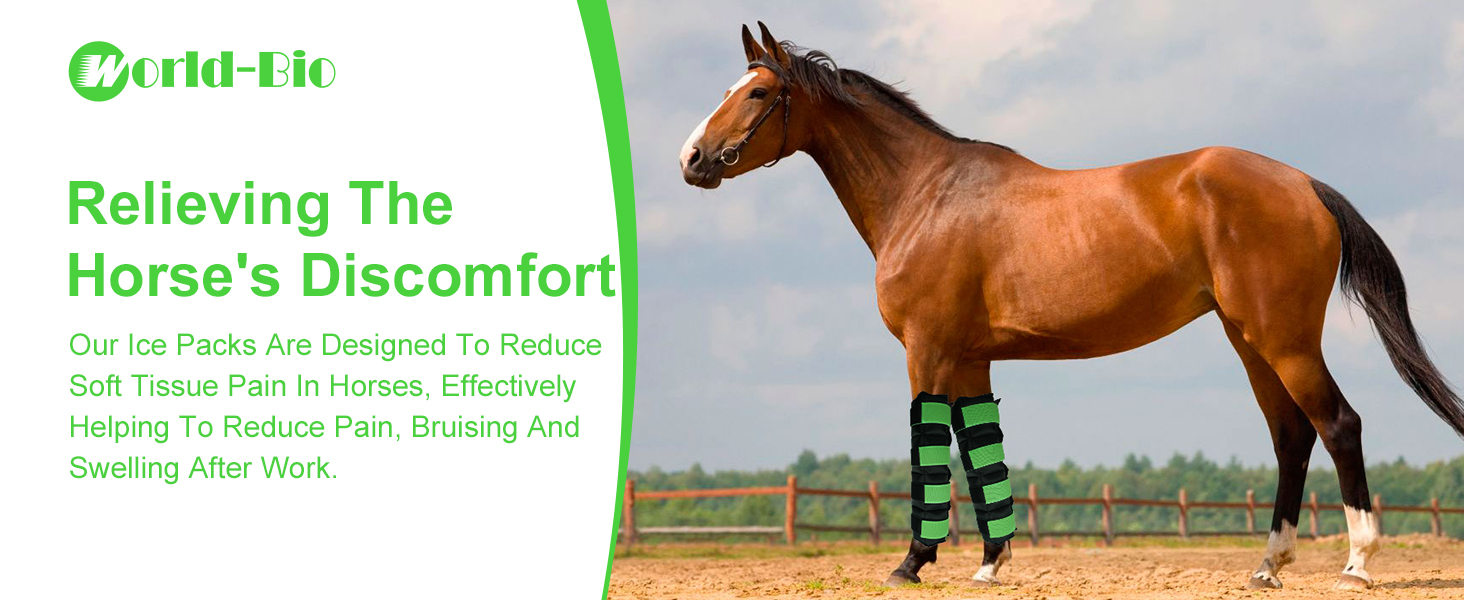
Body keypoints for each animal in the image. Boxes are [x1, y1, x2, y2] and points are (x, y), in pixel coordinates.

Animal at [676, 22, 1463, 591]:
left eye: (757, 93)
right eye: (732, 85)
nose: (691, 159)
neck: (926, 193)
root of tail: (1304, 183)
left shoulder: (926, 350)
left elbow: (931, 450)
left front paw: (910, 564)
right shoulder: (970, 358)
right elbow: (979, 451)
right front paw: (990, 564)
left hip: (1285, 339)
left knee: (1339, 425)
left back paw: (1357, 564)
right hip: (1250, 341)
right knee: (1292, 438)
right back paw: (1268, 565)